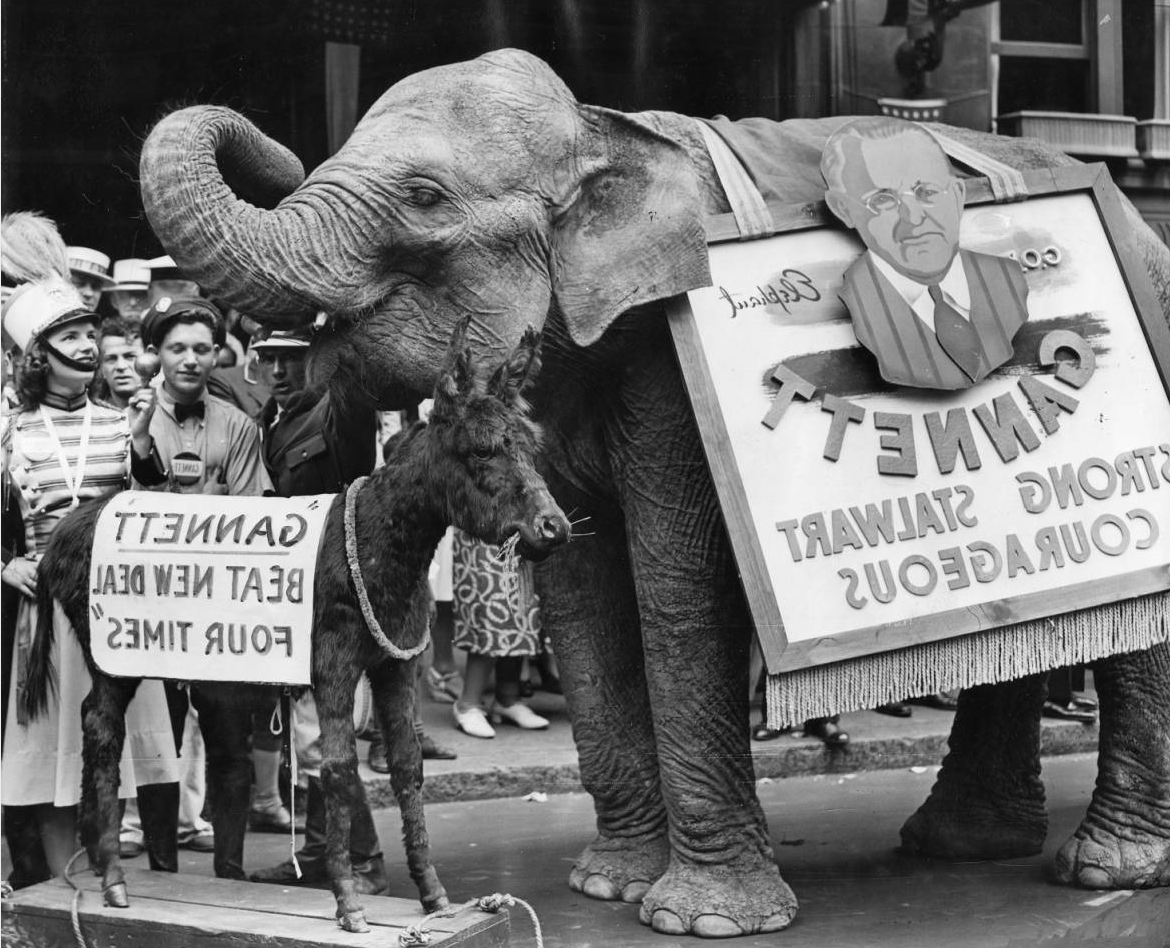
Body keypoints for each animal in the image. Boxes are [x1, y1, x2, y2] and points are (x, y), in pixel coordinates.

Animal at [139, 47, 1170, 936]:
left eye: (424, 199)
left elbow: (674, 577)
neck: (604, 130)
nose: (283, 380)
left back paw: (1106, 869)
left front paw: (700, 920)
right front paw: (608, 887)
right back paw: (968, 846)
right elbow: (578, 588)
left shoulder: (674, 348)